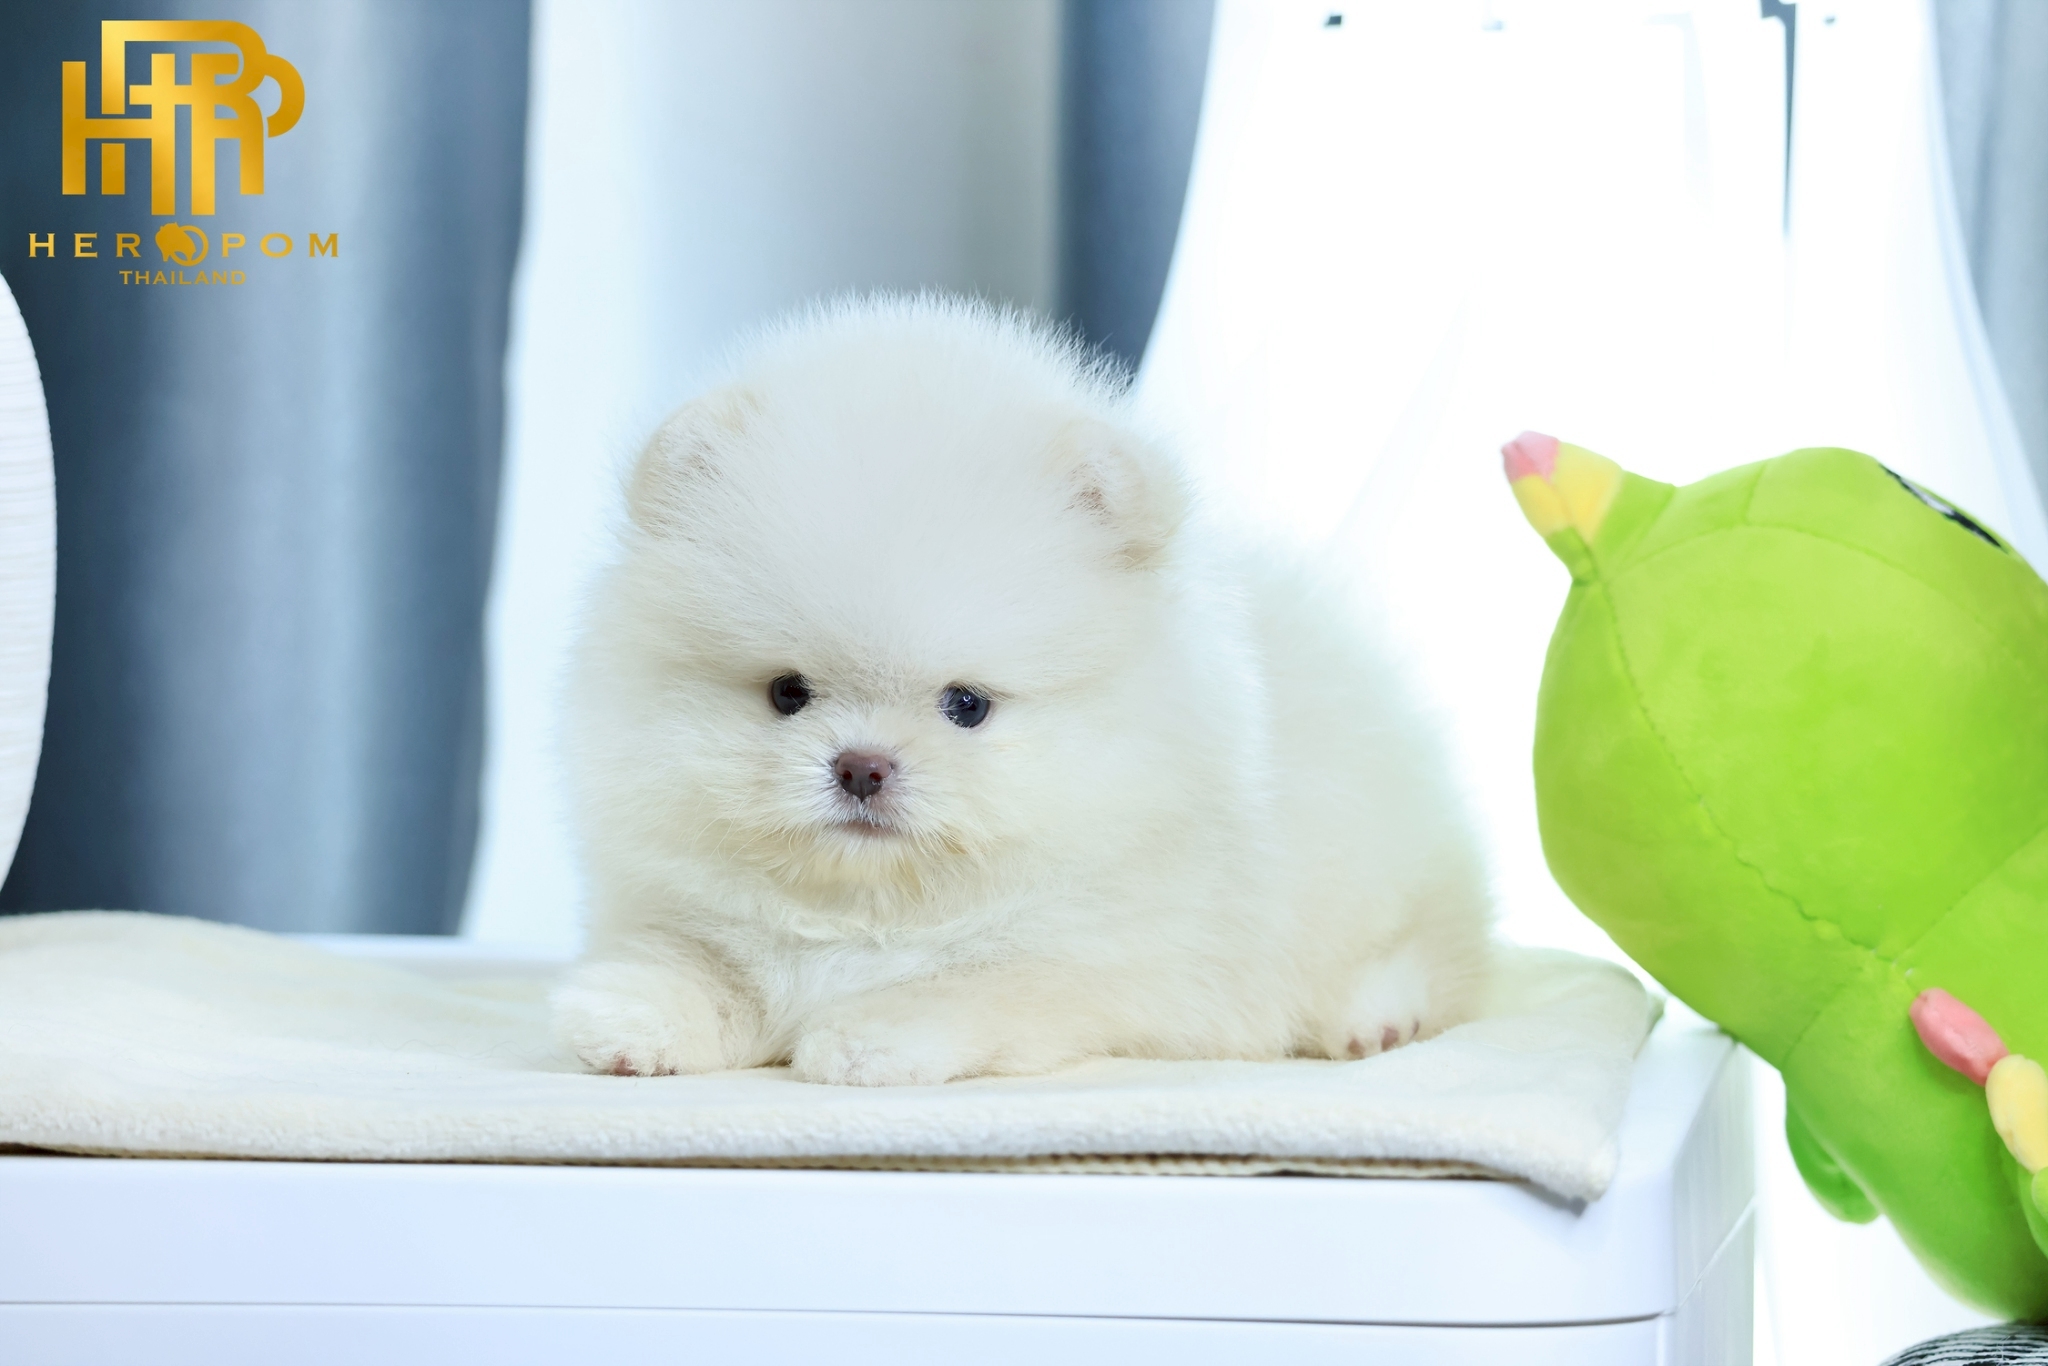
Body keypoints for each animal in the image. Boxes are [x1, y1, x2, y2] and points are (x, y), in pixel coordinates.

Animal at [551, 295, 1493, 1085]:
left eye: (966, 705)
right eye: (788, 692)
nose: (860, 767)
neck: (875, 907)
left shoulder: (1099, 961)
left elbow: (980, 986)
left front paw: (870, 1037)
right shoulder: (690, 910)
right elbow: (702, 964)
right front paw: (629, 1019)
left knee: (1436, 954)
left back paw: (1375, 1020)